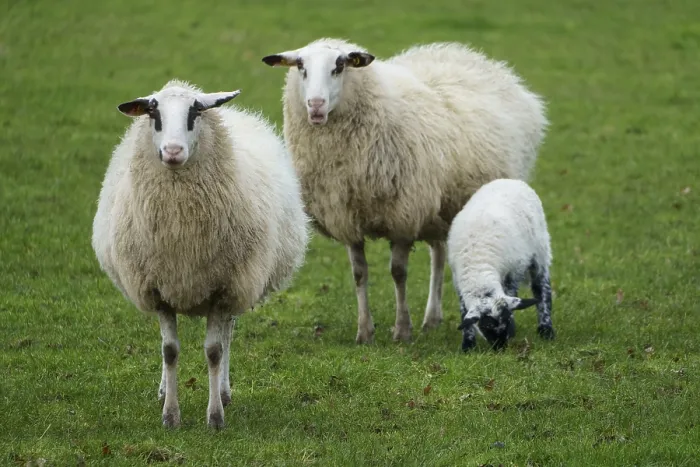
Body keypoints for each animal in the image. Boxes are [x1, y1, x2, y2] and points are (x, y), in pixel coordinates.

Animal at [91, 79, 309, 429]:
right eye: (153, 113)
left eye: (195, 112)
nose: (173, 151)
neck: (181, 230)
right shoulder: (158, 289)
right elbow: (169, 350)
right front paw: (170, 415)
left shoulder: (224, 288)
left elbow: (214, 351)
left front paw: (215, 417)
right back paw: (164, 390)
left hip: (239, 283)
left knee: (228, 334)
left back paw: (223, 392)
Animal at [261, 38, 548, 344]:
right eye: (300, 67)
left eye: (339, 66)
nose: (315, 106)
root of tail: (478, 59)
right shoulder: (348, 218)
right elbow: (359, 274)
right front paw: (365, 331)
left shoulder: (403, 215)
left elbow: (398, 273)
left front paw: (402, 330)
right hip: (438, 208)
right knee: (439, 253)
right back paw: (432, 319)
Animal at [447, 178, 554, 351]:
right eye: (486, 326)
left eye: (507, 320)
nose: (500, 348)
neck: (479, 266)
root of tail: (510, 180)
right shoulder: (458, 282)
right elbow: (464, 312)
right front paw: (468, 345)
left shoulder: (513, 271)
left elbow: (511, 293)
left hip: (540, 251)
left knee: (541, 288)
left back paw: (546, 329)